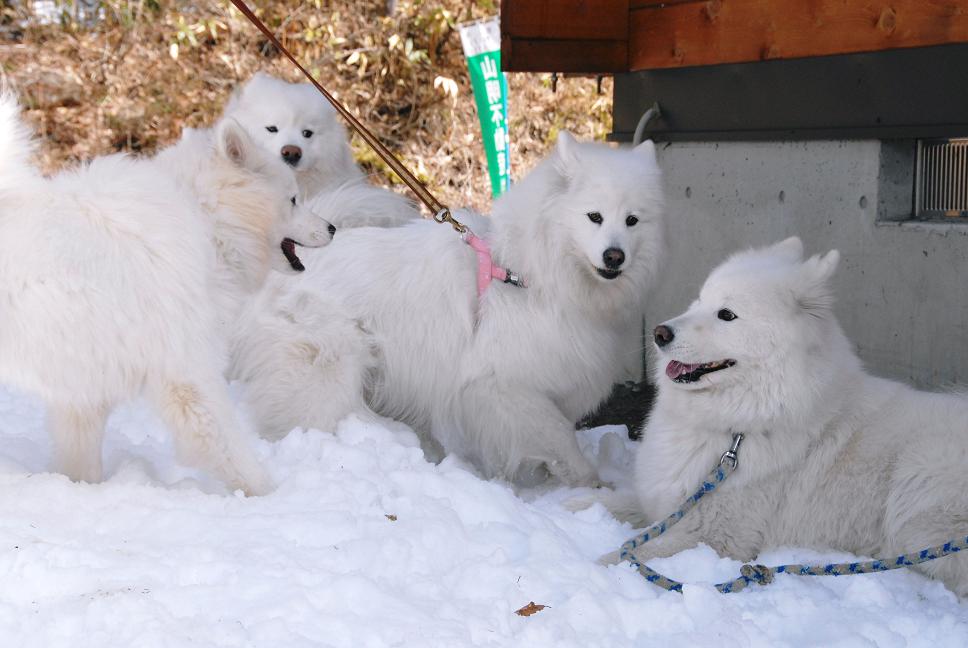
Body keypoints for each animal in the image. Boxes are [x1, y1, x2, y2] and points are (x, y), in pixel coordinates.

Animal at [0, 91, 332, 494]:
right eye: (294, 200)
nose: (332, 228)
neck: (209, 221)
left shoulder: (83, 388)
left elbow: (81, 461)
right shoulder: (187, 373)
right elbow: (231, 450)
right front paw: (270, 497)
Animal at [229, 133, 664, 486]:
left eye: (632, 220)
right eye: (594, 217)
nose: (614, 256)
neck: (528, 276)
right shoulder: (500, 386)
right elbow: (557, 435)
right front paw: (588, 484)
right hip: (328, 372)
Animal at [612, 239, 968, 596]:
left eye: (726, 314)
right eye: (699, 299)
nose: (659, 332)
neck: (741, 428)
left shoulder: (713, 534)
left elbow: (620, 555)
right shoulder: (664, 505)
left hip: (921, 476)